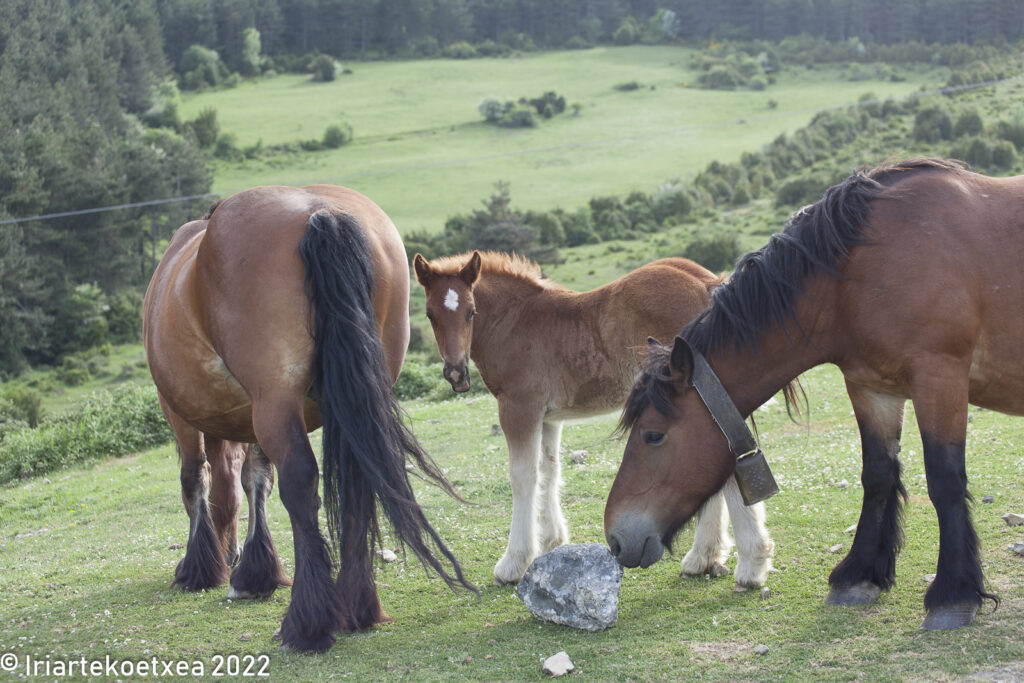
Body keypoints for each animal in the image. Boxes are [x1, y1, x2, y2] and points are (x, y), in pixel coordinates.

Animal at [144, 185, 475, 651]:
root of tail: (321, 213)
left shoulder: (181, 411)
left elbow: (199, 480)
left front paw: (203, 568)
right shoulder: (247, 415)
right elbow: (251, 481)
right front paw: (252, 569)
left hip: (274, 402)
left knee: (299, 484)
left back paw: (307, 623)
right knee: (357, 482)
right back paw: (357, 608)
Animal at [411, 253, 770, 585]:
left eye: (471, 311)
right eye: (430, 315)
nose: (456, 373)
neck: (515, 322)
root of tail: (708, 283)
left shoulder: (519, 406)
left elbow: (523, 477)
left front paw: (513, 563)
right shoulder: (548, 416)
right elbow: (549, 471)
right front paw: (552, 542)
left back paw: (749, 563)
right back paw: (703, 558)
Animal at [602, 158, 1019, 630]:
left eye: (653, 435)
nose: (616, 538)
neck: (860, 271)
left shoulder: (939, 376)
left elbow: (945, 481)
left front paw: (953, 593)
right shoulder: (872, 388)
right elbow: (878, 475)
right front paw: (859, 576)